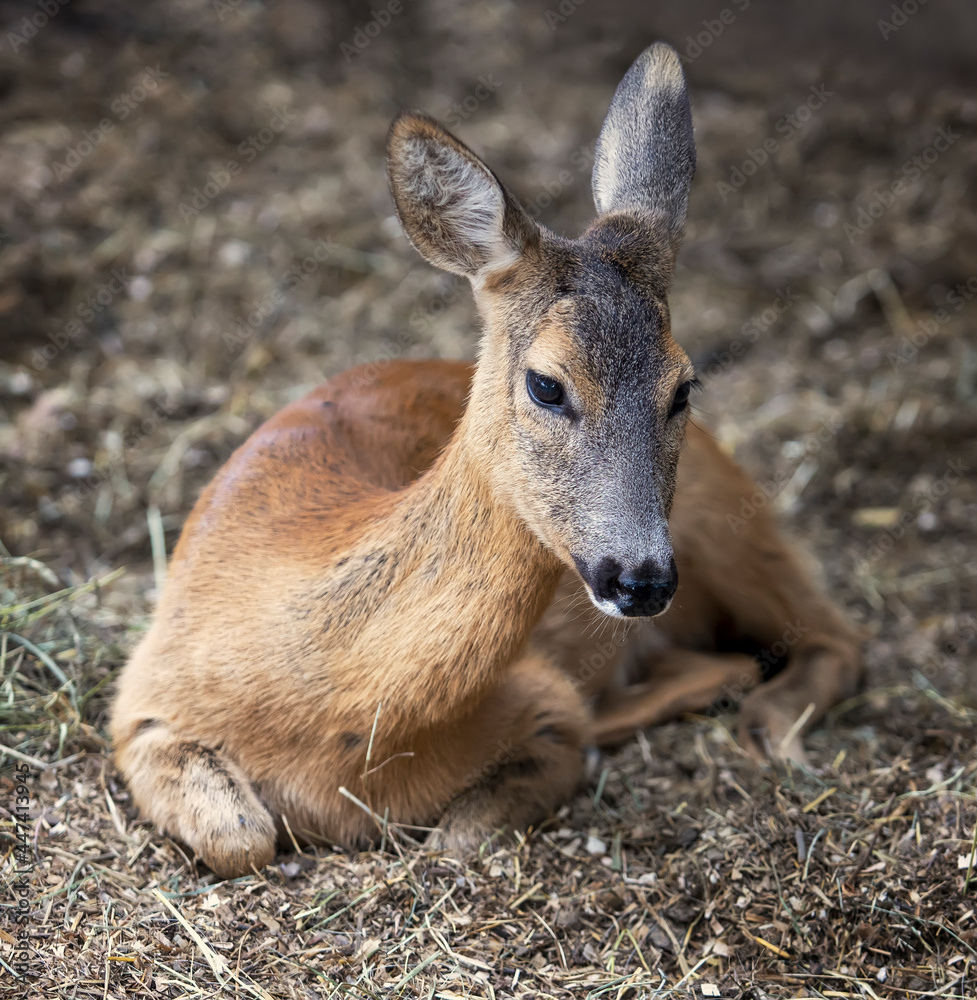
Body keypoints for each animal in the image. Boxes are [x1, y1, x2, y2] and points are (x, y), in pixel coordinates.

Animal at [110, 43, 860, 880]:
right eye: (546, 383)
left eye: (683, 386)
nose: (639, 578)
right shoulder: (141, 696)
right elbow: (239, 836)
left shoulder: (544, 704)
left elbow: (461, 837)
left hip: (723, 521)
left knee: (836, 635)